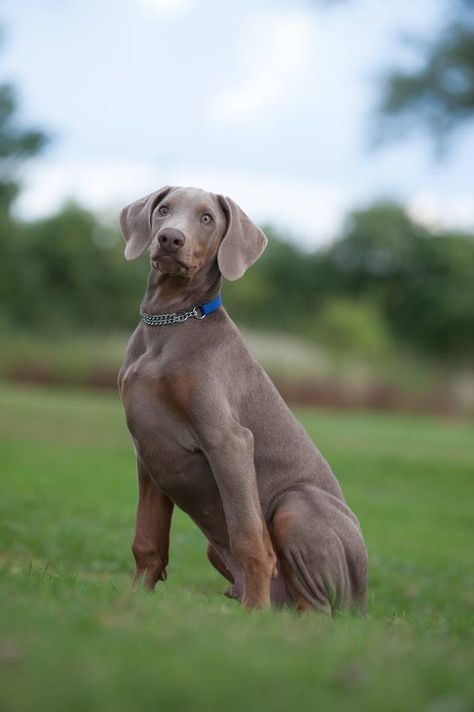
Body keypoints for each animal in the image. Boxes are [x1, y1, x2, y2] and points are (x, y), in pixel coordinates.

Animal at [117, 186, 366, 616]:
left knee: (318, 610)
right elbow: (147, 542)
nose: (170, 238)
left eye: (207, 219)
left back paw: (261, 613)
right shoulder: (148, 451)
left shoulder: (229, 441)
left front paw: (255, 618)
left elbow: (250, 539)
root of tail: (364, 602)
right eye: (163, 209)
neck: (171, 321)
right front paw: (134, 599)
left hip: (296, 504)